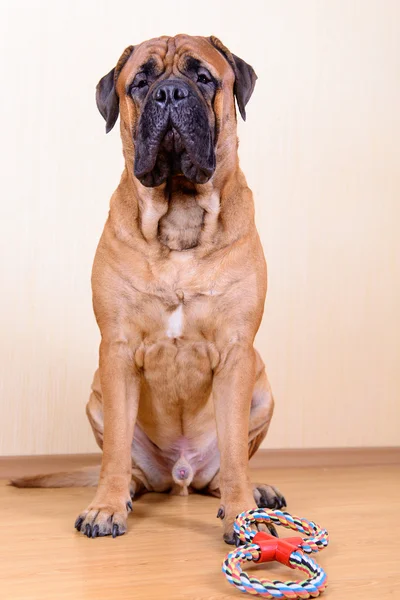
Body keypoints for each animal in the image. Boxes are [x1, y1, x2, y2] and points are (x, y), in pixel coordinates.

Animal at [12, 35, 286, 548]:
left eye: (203, 78)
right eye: (140, 82)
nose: (170, 94)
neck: (179, 217)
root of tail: (180, 475)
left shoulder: (238, 352)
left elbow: (235, 452)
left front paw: (243, 512)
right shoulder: (117, 351)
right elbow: (116, 449)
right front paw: (105, 507)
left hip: (261, 389)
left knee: (224, 469)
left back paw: (252, 492)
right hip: (96, 395)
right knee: (132, 469)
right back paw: (128, 492)